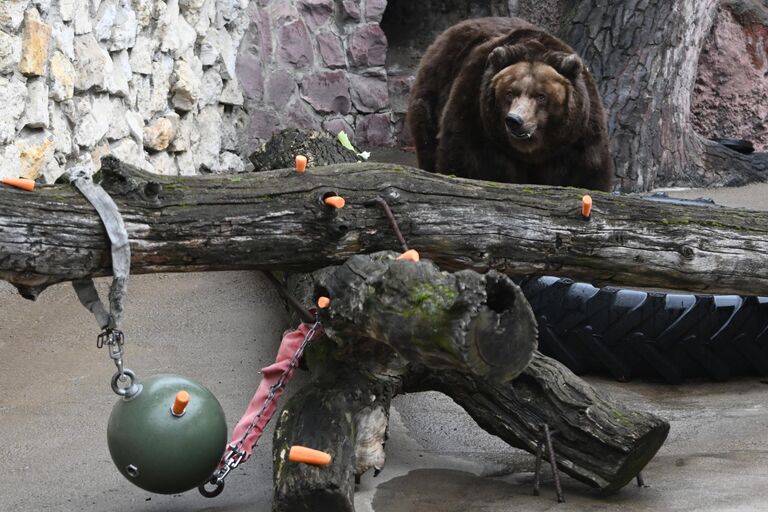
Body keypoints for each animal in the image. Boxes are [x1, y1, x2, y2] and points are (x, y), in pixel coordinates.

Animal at [408, 17, 616, 192]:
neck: (533, 151)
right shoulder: (475, 117)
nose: (515, 120)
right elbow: (467, 163)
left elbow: (586, 175)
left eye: (541, 96)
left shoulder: (577, 138)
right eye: (509, 93)